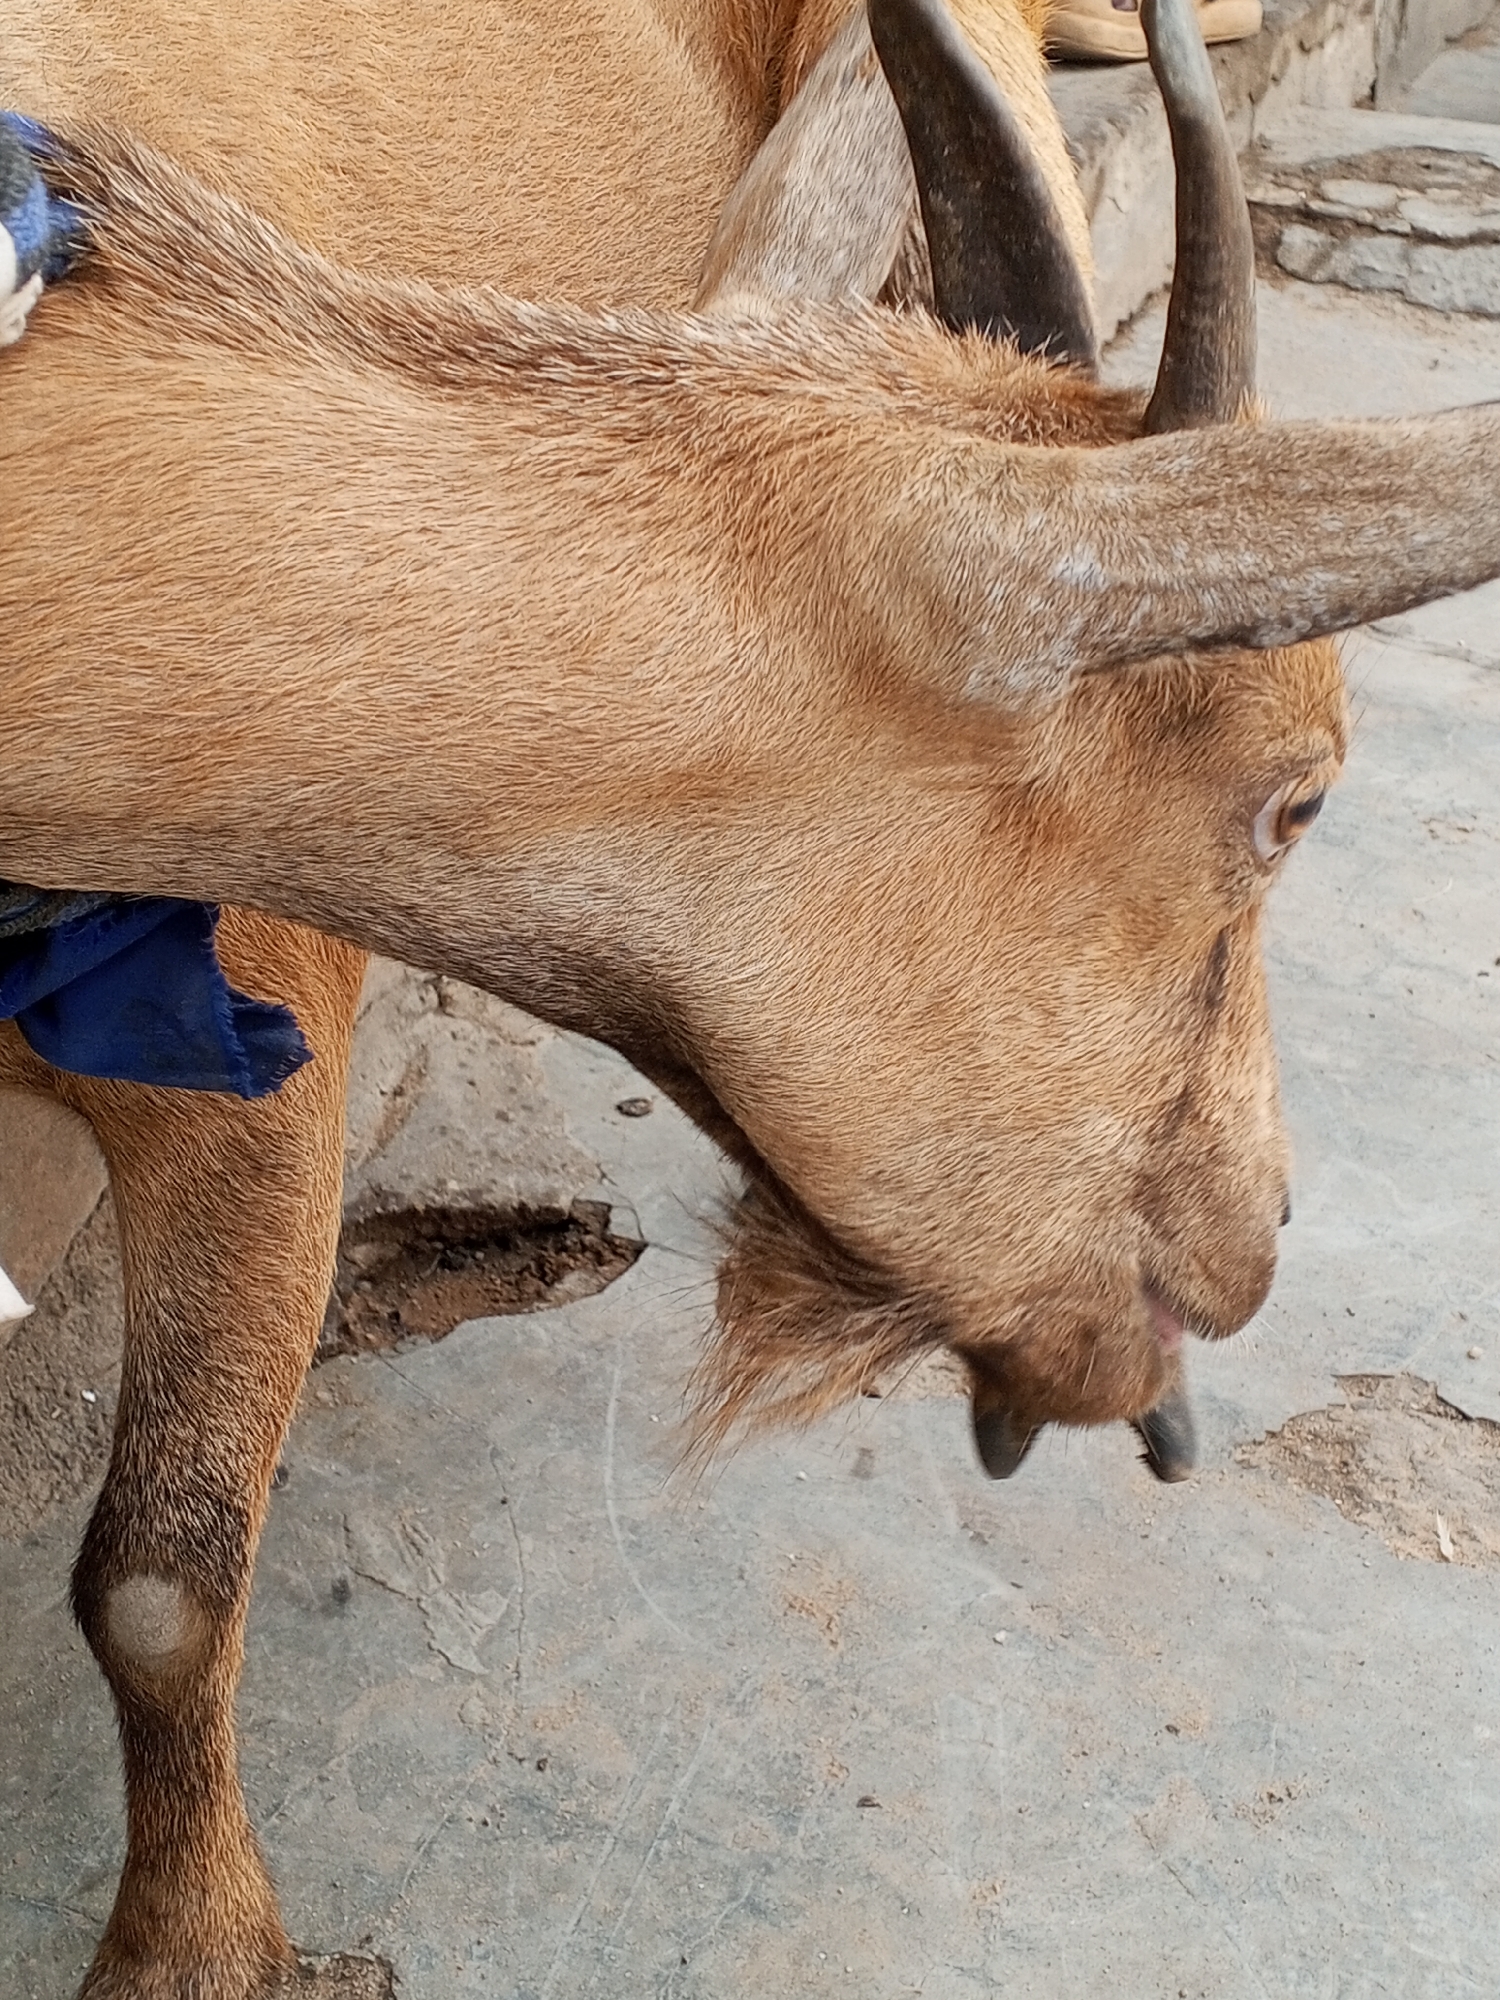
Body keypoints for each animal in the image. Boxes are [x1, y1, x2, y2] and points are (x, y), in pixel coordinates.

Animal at [5, 1, 1500, 1992]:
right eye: (1299, 800)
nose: (1256, 1239)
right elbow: (165, 1584)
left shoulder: (256, 1045)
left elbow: (161, 1581)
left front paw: (189, 1949)